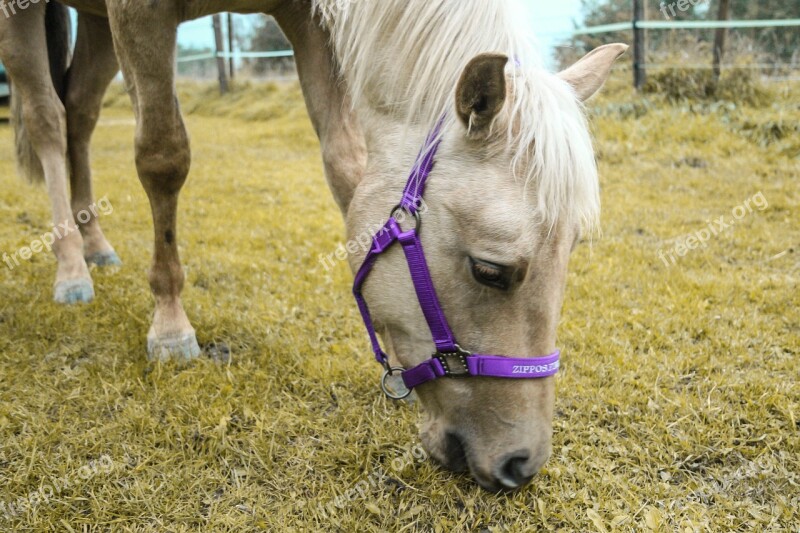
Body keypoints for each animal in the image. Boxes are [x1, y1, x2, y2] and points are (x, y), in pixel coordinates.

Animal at [0, 0, 624, 490]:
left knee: (80, 113)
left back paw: (94, 242)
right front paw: (170, 323)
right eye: (489, 270)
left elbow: (346, 161)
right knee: (48, 118)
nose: (523, 463)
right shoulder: (138, 11)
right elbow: (163, 155)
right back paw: (71, 267)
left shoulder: (307, 22)